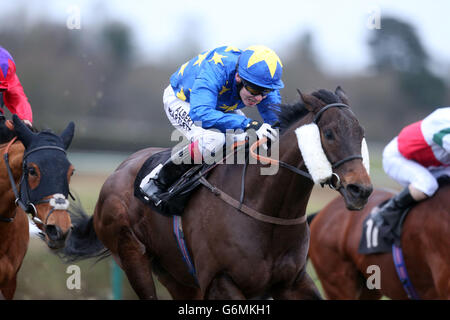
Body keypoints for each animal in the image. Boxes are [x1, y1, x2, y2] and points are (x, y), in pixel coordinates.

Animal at [62, 86, 372, 298]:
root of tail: (116, 173)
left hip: (176, 273)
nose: (361, 190)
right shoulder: (221, 281)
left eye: (361, 133)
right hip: (131, 255)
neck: (267, 209)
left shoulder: (293, 281)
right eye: (329, 134)